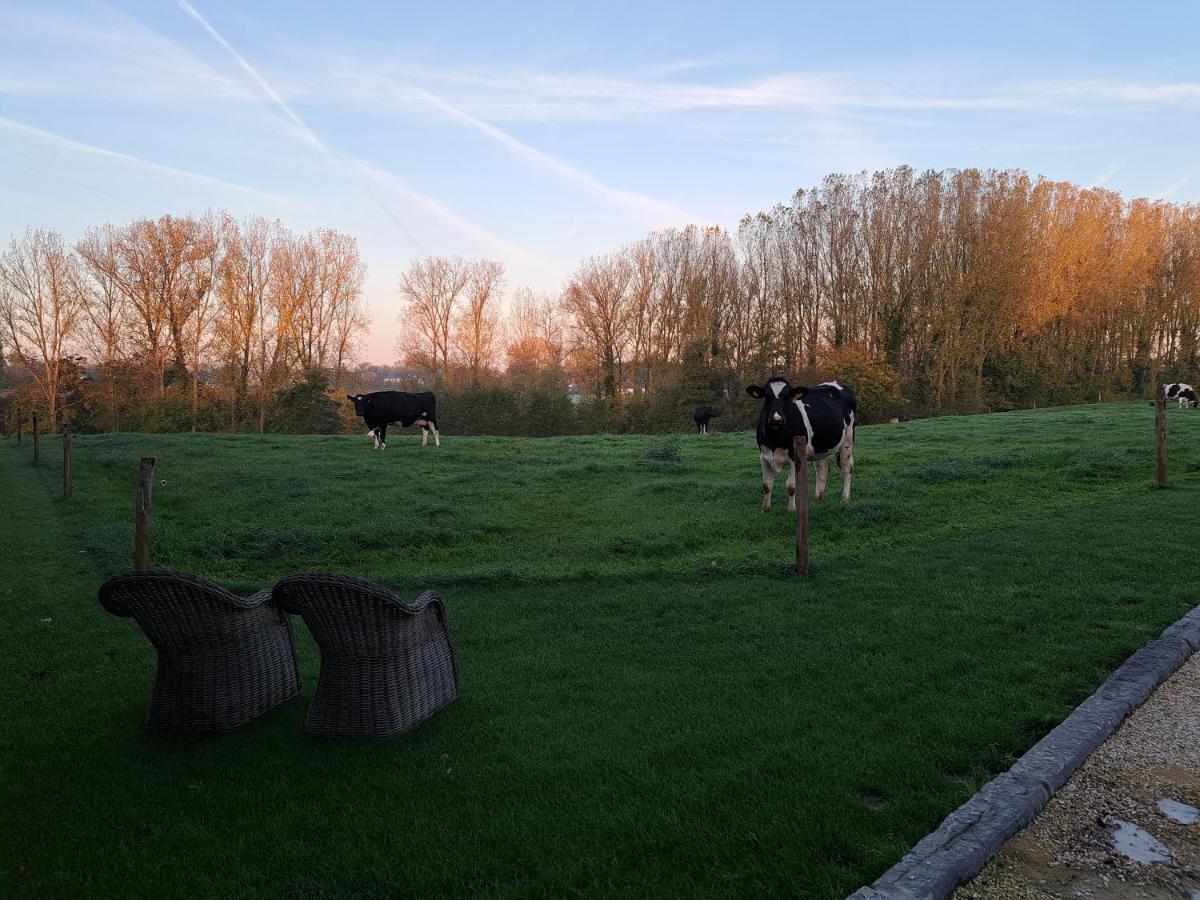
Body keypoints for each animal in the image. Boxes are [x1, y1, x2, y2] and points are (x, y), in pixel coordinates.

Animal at [744, 376, 859, 511]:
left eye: (788, 397)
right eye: (767, 397)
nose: (776, 419)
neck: (775, 440)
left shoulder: (795, 457)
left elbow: (791, 486)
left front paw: (791, 509)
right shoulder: (763, 456)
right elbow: (766, 485)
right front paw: (766, 508)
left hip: (847, 439)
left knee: (847, 466)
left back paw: (845, 498)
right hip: (820, 446)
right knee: (822, 469)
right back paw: (817, 498)